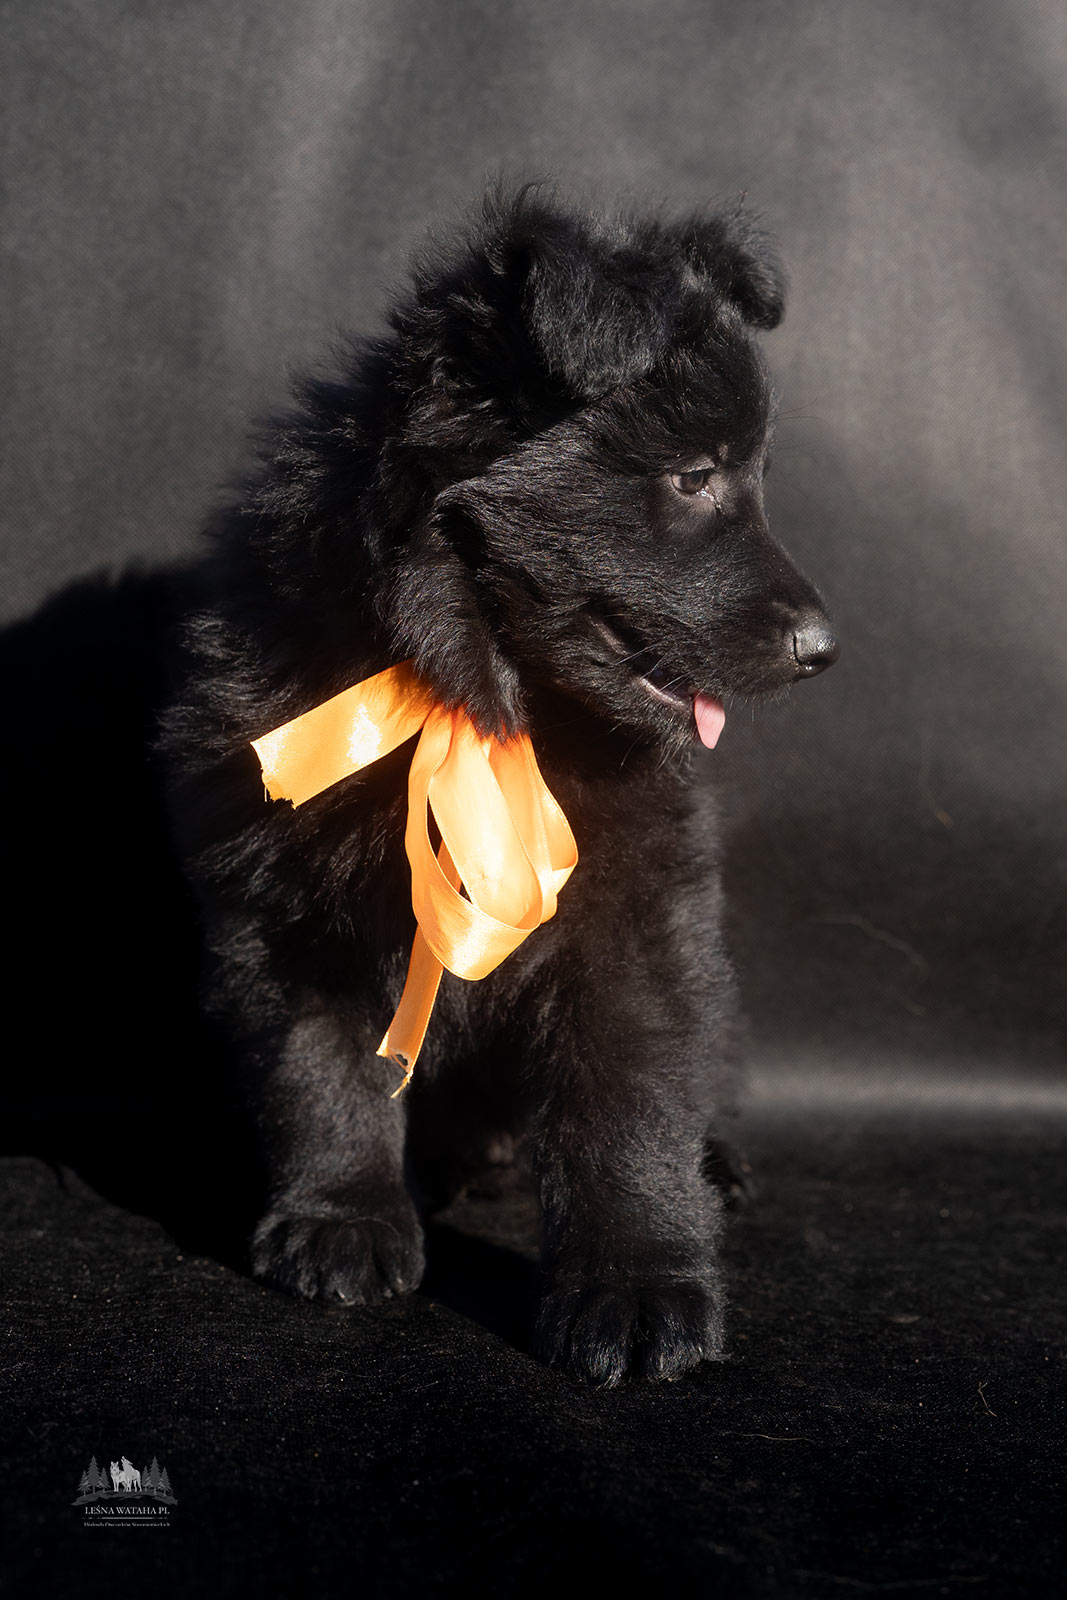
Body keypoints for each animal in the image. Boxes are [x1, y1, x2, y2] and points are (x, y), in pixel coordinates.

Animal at [163, 186, 837, 1386]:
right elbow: (320, 1069)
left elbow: (628, 1093)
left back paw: (713, 1163)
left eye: (748, 475)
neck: (473, 688)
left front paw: (636, 1285)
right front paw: (341, 1216)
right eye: (691, 476)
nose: (825, 649)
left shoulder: (633, 909)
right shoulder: (282, 901)